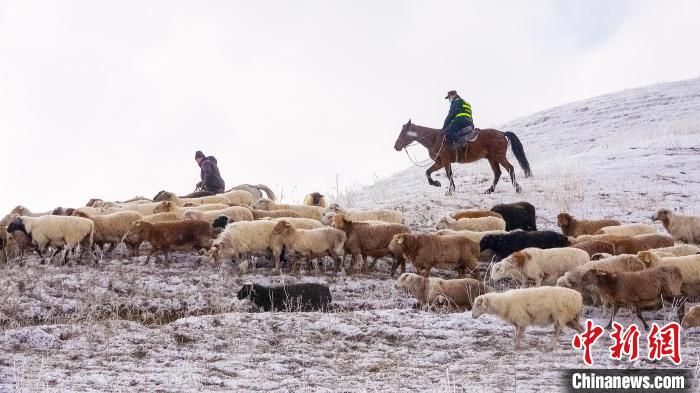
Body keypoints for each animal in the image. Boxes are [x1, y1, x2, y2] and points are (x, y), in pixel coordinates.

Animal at [394, 118, 532, 194]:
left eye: (403, 133)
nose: (396, 146)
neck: (434, 139)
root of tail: (501, 133)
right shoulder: (440, 162)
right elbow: (428, 172)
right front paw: (436, 183)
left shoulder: (445, 161)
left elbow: (448, 174)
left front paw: (450, 191)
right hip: (491, 159)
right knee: (497, 173)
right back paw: (489, 190)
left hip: (499, 157)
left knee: (510, 168)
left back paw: (517, 188)